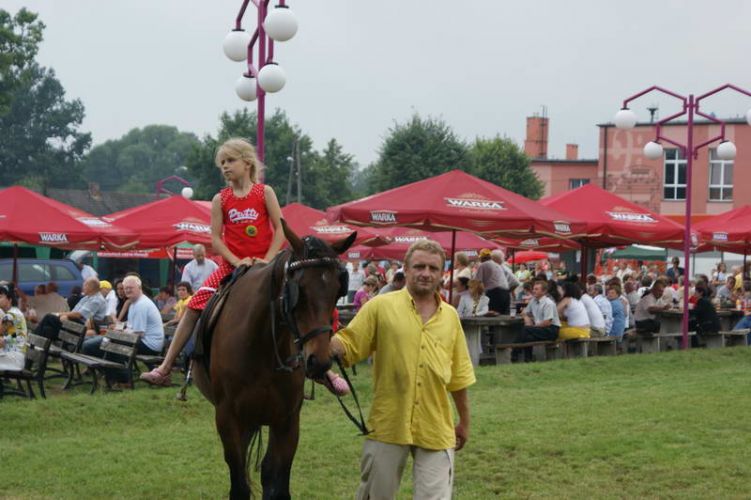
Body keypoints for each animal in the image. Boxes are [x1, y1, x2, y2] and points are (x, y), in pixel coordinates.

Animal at [194, 223, 358, 500]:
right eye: (299, 290)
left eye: (338, 290)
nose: (319, 361)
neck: (262, 346)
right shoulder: (227, 418)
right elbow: (239, 485)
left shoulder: (287, 421)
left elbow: (276, 484)